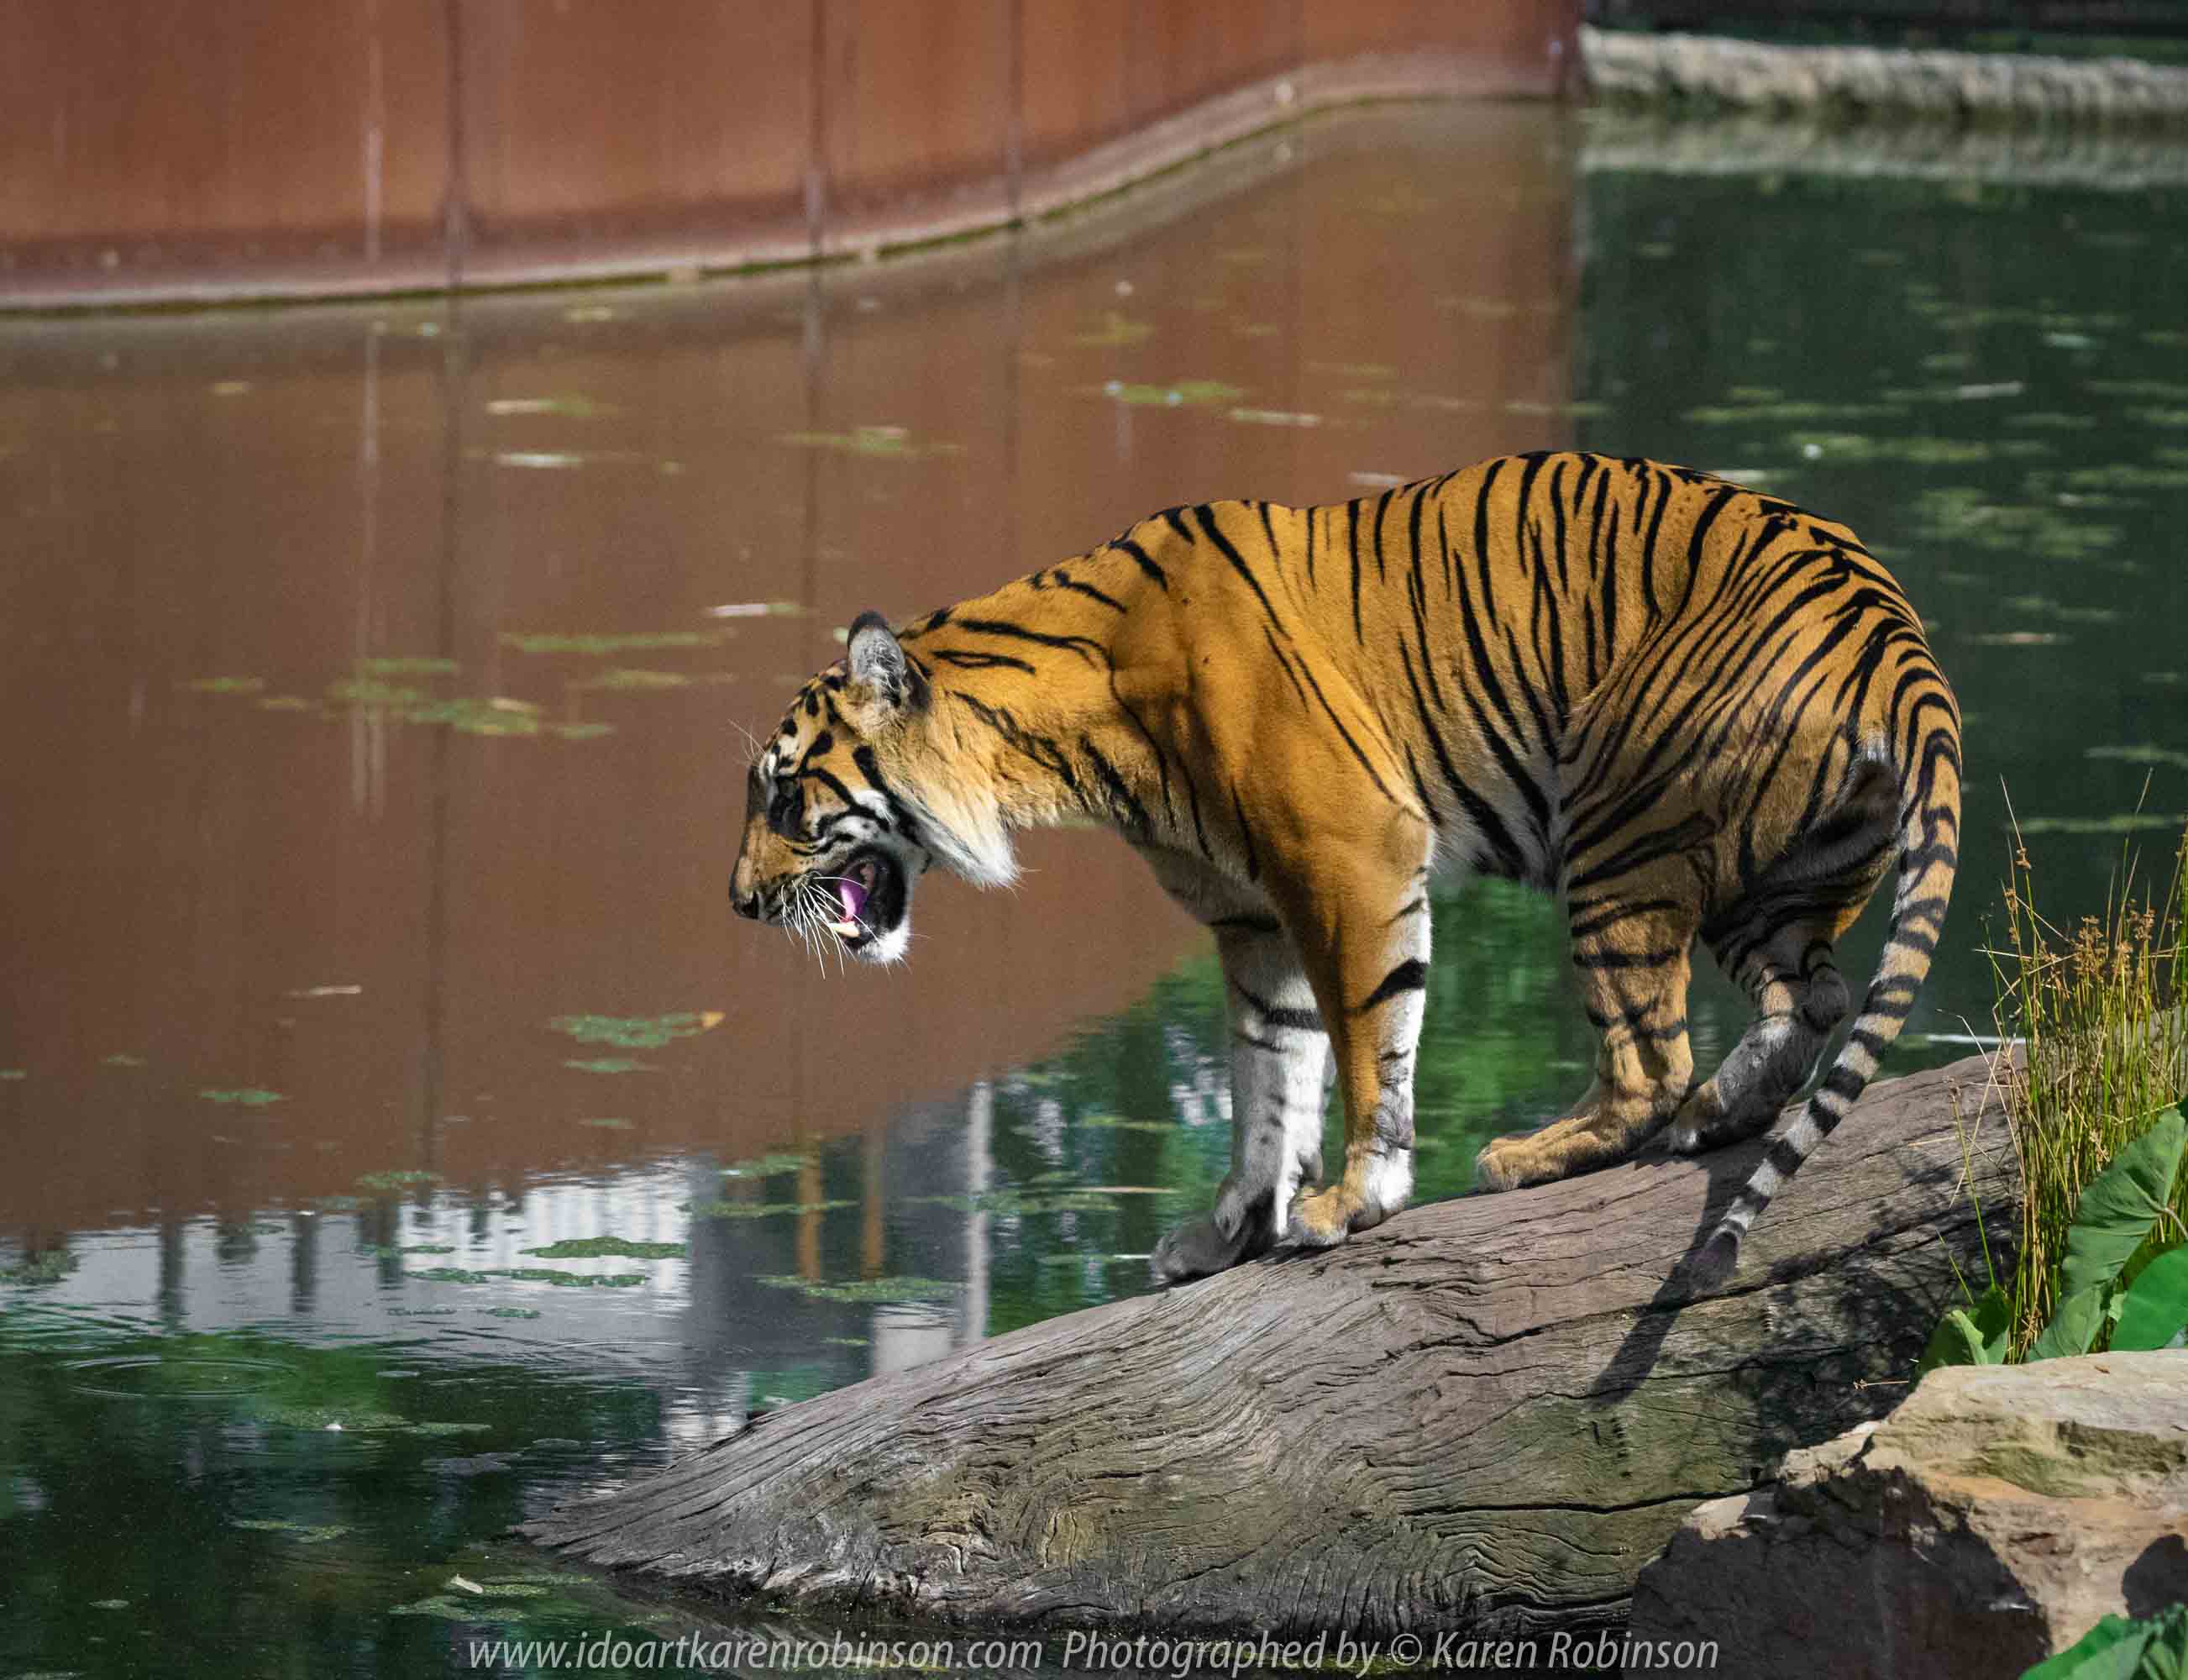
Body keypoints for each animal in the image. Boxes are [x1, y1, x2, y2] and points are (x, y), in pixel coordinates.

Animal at [730, 452, 1961, 1287]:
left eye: (786, 796)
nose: (739, 903)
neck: (1062, 735)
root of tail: (1891, 628)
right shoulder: (1252, 916)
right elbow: (1267, 1079)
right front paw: (1227, 1230)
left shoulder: (1346, 861)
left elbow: (1370, 1045)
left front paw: (1348, 1204)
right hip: (1772, 880)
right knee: (1813, 996)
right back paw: (1717, 1114)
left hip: (1615, 831)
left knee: (1652, 1055)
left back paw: (1530, 1152)